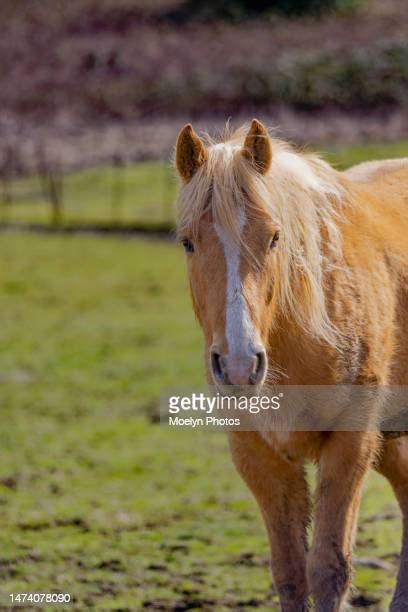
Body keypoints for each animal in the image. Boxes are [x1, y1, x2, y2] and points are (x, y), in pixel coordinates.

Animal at [174, 120, 408, 612]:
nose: (239, 365)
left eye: (274, 238)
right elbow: (289, 572)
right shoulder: (258, 455)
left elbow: (328, 568)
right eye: (188, 242)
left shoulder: (351, 444)